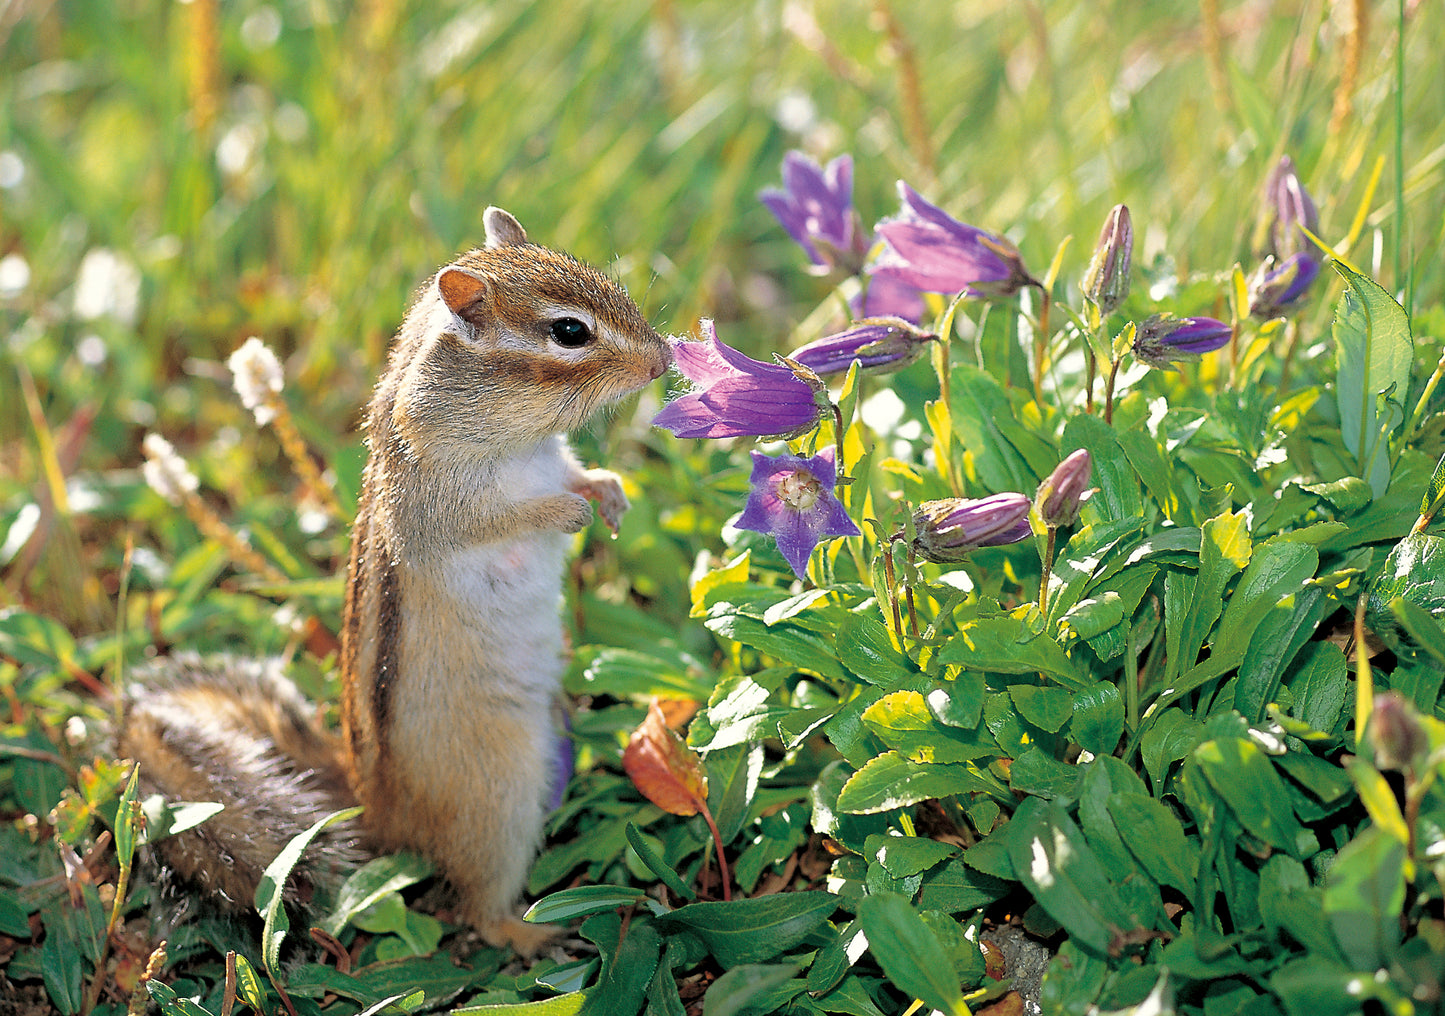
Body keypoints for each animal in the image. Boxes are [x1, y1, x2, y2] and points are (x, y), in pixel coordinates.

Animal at [119, 207, 672, 953]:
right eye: (569, 332)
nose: (663, 359)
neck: (519, 443)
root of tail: (373, 806)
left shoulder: (552, 458)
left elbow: (578, 473)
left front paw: (607, 492)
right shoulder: (437, 506)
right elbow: (499, 518)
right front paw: (568, 513)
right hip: (501, 797)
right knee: (477, 905)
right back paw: (533, 933)